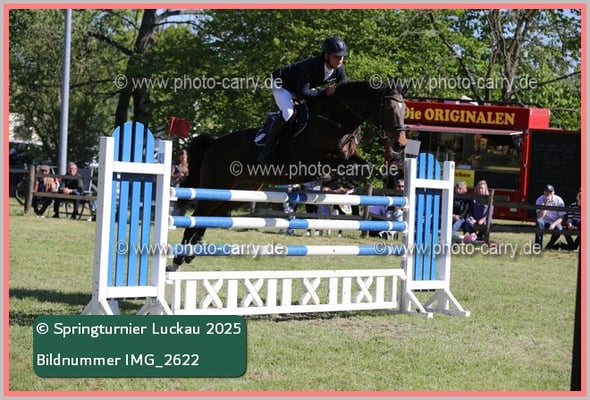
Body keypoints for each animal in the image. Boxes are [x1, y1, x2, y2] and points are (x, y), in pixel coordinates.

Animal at [168, 80, 407, 270]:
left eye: (405, 108)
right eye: (389, 107)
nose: (400, 144)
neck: (336, 119)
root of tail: (215, 143)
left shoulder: (348, 156)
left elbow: (365, 166)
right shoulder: (313, 162)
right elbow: (346, 167)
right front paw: (342, 179)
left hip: (238, 193)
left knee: (208, 218)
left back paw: (191, 253)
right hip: (216, 186)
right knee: (197, 215)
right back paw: (178, 259)